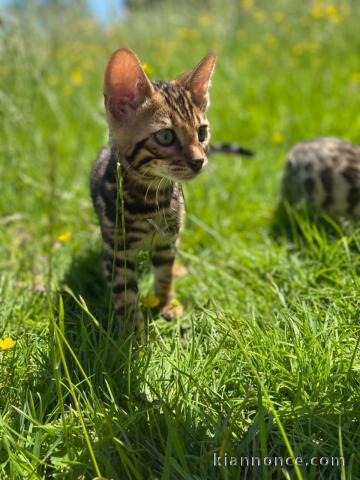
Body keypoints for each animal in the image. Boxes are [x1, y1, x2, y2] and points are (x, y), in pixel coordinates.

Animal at [91, 48, 218, 332]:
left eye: (202, 132)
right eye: (165, 136)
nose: (199, 161)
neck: (149, 200)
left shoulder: (166, 240)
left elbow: (165, 275)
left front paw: (166, 305)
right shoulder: (117, 249)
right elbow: (125, 295)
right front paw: (132, 334)